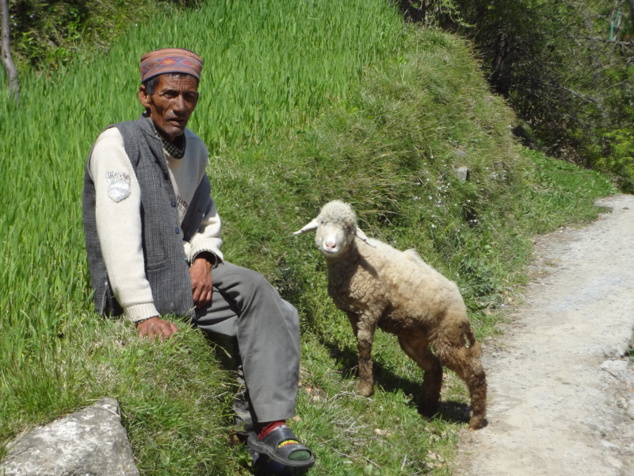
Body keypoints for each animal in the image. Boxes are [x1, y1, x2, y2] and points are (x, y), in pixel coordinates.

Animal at [294, 199, 486, 430]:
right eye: (322, 222)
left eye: (349, 228)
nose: (330, 245)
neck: (356, 260)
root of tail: (462, 308)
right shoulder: (354, 313)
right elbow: (360, 343)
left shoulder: (371, 309)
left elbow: (364, 347)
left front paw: (365, 389)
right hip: (414, 337)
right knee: (434, 368)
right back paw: (426, 409)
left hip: (448, 336)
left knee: (474, 371)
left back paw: (476, 419)